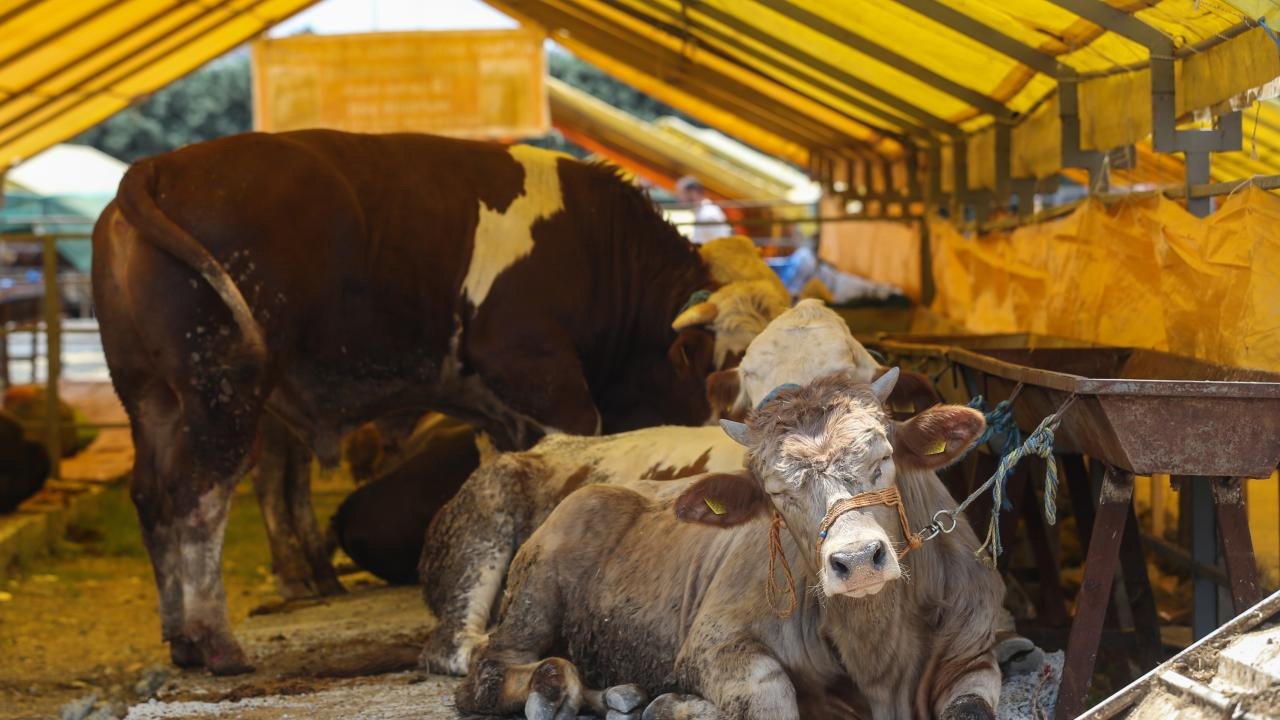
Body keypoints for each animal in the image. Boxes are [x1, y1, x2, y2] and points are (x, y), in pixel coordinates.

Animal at [90, 130, 783, 671]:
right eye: (733, 362)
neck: (596, 252)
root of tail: (155, 169)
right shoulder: (540, 373)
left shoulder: (500, 412)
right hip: (222, 388)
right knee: (200, 498)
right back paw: (216, 641)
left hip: (150, 398)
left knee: (154, 497)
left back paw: (184, 638)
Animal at [455, 368, 1003, 717]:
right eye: (776, 492)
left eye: (883, 458)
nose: (858, 560)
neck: (878, 651)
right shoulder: (715, 644)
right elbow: (771, 691)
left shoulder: (974, 652)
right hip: (534, 596)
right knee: (485, 672)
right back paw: (554, 687)